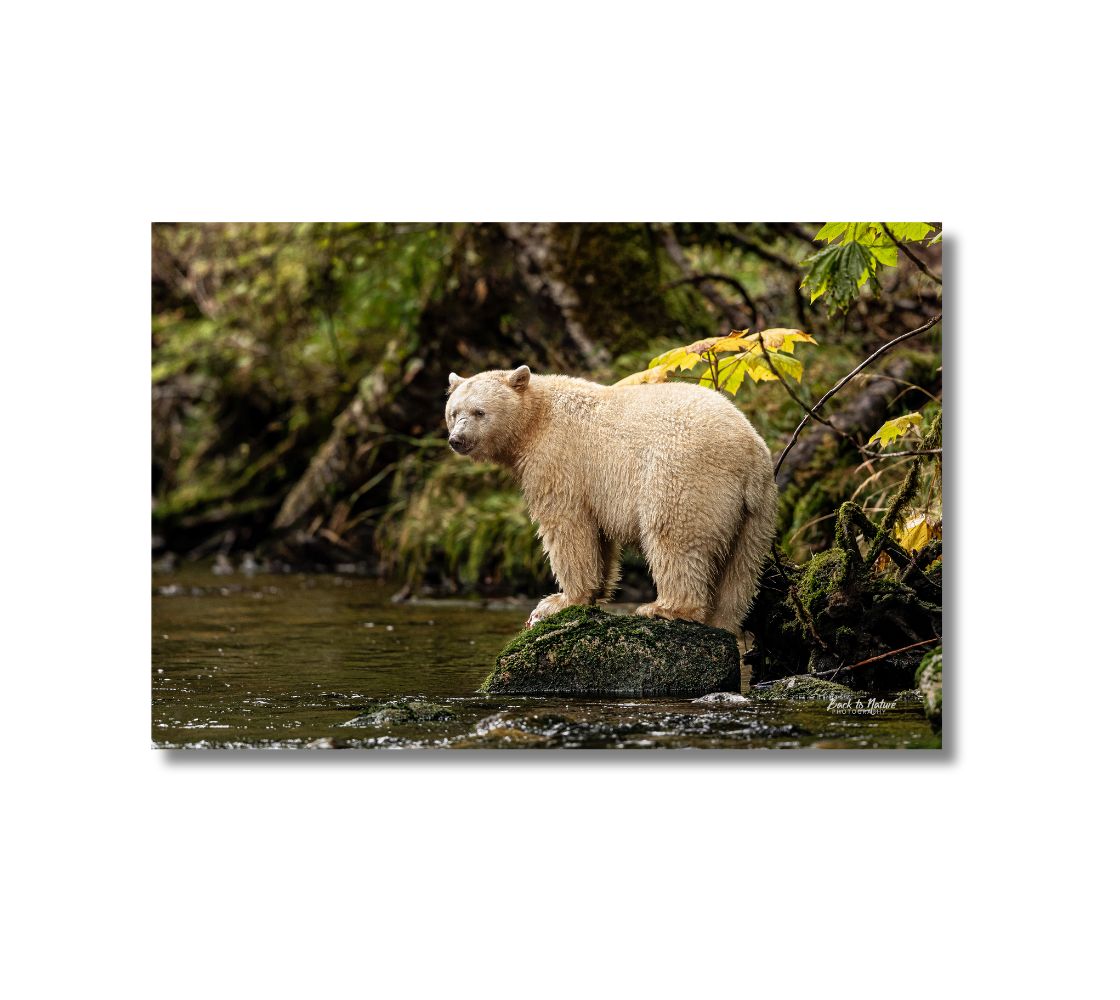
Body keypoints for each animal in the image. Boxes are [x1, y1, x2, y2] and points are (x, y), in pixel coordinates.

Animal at [441, 365, 775, 631]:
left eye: (479, 412)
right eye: (454, 413)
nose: (457, 440)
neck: (534, 421)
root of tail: (749, 451)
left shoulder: (558, 459)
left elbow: (566, 526)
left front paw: (558, 600)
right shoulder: (593, 485)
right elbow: (598, 537)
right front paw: (593, 592)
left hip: (685, 476)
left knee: (674, 536)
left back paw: (664, 608)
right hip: (756, 510)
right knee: (741, 567)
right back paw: (722, 619)